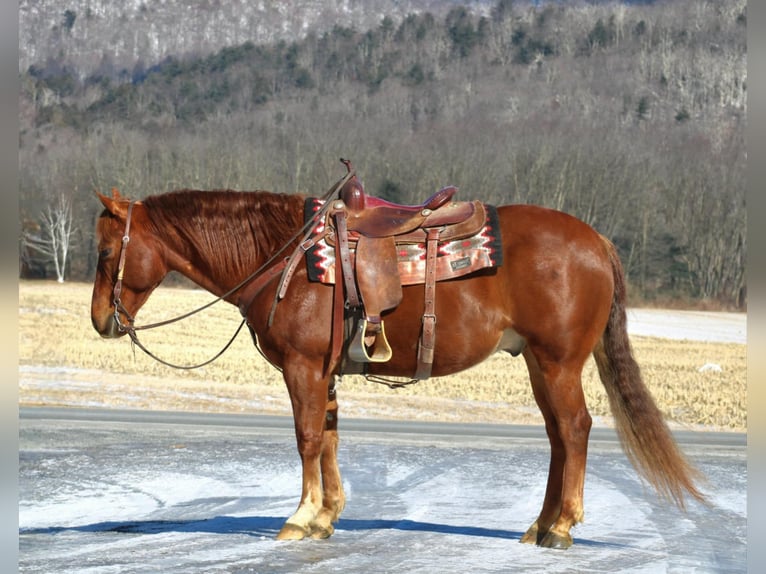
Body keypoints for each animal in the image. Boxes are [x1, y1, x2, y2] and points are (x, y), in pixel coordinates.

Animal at [87, 174, 704, 548]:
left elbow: (306, 438)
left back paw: (562, 527)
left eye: (105, 250)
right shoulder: (325, 373)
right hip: (539, 363)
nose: (100, 320)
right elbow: (329, 437)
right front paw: (326, 515)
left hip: (557, 362)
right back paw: (540, 524)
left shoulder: (302, 368)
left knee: (573, 430)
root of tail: (597, 241)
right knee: (559, 435)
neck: (285, 256)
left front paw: (300, 517)